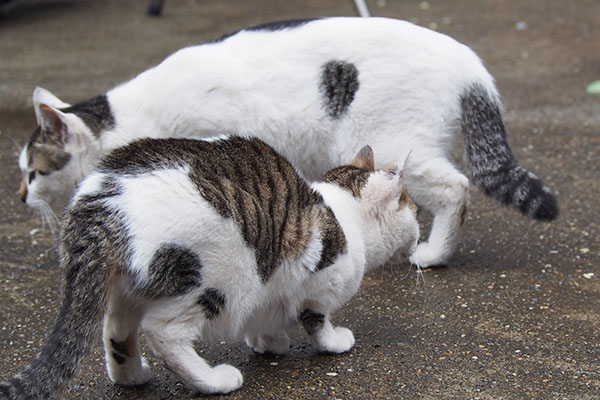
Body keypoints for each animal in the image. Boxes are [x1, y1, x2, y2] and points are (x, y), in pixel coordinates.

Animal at [3, 137, 422, 396]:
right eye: (412, 206)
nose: (420, 217)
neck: (344, 214)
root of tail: (100, 204)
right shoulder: (317, 286)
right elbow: (317, 321)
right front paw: (332, 342)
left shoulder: (271, 290)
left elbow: (267, 319)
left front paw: (268, 343)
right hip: (220, 276)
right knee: (163, 333)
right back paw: (212, 380)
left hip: (128, 289)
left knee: (116, 330)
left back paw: (132, 376)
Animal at [17, 17, 556, 268]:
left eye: (33, 171)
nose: (20, 196)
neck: (122, 119)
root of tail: (468, 60)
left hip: (397, 143)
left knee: (457, 189)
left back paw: (434, 254)